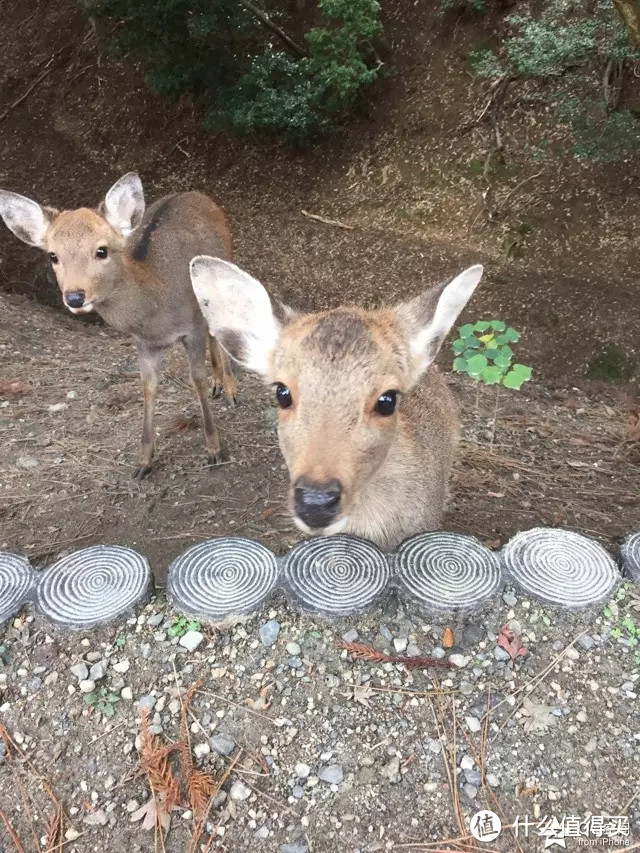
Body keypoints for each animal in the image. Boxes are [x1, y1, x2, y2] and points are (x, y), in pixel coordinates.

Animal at [0, 173, 238, 480]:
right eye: (53, 255)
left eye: (101, 250)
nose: (75, 297)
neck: (156, 310)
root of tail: (196, 193)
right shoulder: (144, 343)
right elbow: (148, 386)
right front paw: (143, 463)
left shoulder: (192, 327)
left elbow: (197, 378)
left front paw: (214, 449)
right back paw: (220, 383)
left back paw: (229, 388)